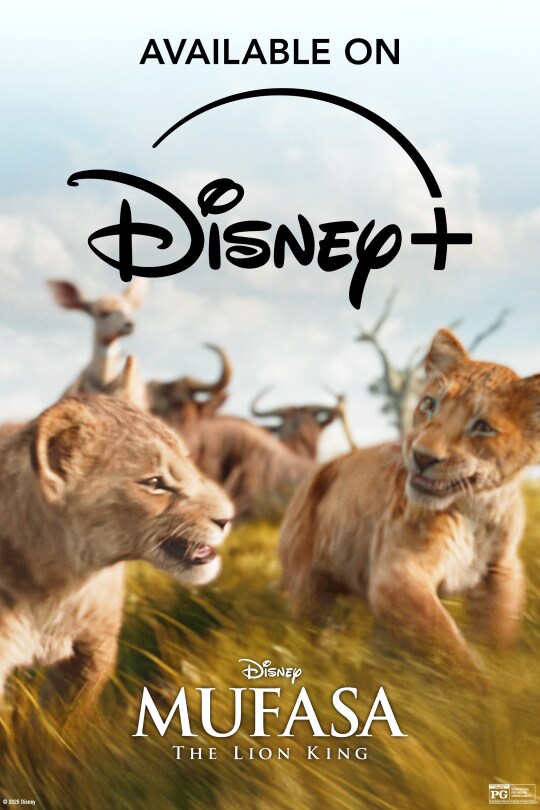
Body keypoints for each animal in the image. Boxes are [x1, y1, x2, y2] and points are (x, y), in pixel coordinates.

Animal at [0, 395, 233, 709]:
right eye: (155, 483)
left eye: (189, 461)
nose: (227, 518)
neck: (59, 586)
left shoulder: (96, 646)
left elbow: (64, 716)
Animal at [280, 329, 540, 670]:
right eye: (430, 404)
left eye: (483, 427)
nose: (422, 456)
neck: (478, 511)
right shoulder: (396, 575)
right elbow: (452, 649)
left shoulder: (504, 569)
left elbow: (498, 632)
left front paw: (505, 670)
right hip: (306, 580)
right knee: (309, 625)